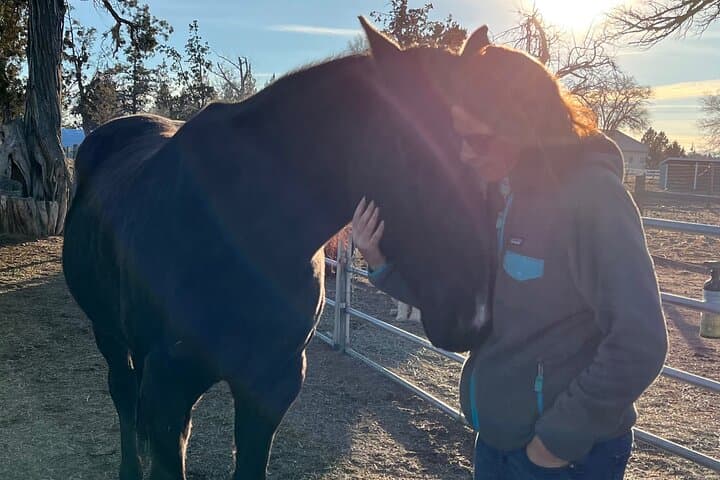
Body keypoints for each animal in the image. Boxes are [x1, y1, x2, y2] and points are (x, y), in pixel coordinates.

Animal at [62, 18, 493, 480]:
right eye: (410, 149)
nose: (471, 316)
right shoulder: (168, 390)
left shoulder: (273, 384)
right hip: (107, 332)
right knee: (123, 394)